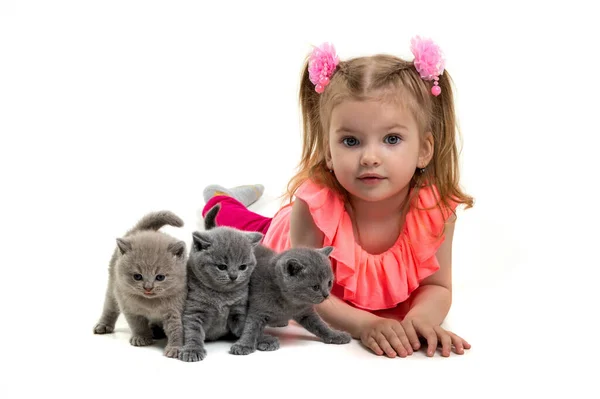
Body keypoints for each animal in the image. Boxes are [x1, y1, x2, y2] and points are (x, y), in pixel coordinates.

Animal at [92, 212, 186, 360]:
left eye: (160, 277)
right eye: (137, 276)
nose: (148, 287)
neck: (151, 303)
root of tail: (139, 231)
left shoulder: (175, 308)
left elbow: (176, 328)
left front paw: (175, 348)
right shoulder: (129, 307)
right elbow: (137, 324)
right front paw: (141, 338)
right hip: (113, 286)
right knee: (109, 308)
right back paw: (103, 325)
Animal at [178, 205, 262, 364]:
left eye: (243, 267)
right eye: (222, 267)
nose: (234, 276)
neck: (221, 296)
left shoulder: (238, 310)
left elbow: (246, 326)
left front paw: (262, 340)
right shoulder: (193, 310)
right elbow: (193, 331)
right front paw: (192, 350)